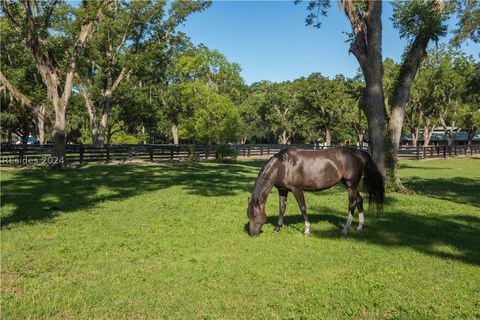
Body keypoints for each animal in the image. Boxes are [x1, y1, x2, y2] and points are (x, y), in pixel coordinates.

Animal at [246, 146, 384, 236]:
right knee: (359, 200)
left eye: (255, 215)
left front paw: (307, 230)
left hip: (351, 185)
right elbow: (282, 208)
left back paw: (345, 229)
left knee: (352, 204)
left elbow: (303, 207)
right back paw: (359, 227)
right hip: (350, 185)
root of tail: (359, 152)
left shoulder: (297, 189)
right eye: (249, 215)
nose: (252, 234)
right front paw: (277, 229)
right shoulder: (283, 190)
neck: (283, 166)